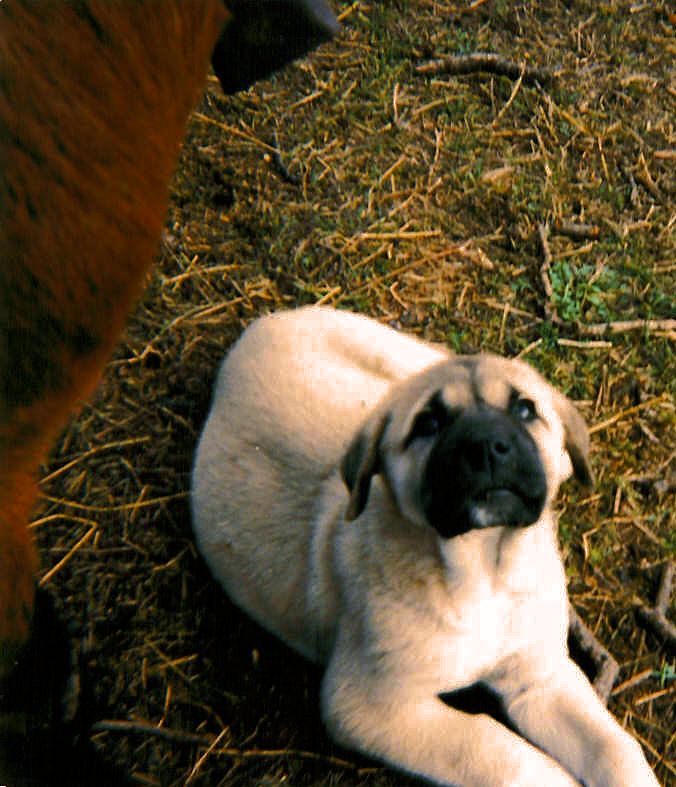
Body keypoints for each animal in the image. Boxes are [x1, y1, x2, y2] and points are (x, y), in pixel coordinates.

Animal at [191, 306, 660, 787]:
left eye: (525, 409)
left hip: (397, 356)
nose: (487, 447)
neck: (485, 570)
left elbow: (613, 747)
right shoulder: (368, 702)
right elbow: (492, 749)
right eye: (428, 424)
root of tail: (265, 322)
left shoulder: (541, 675)